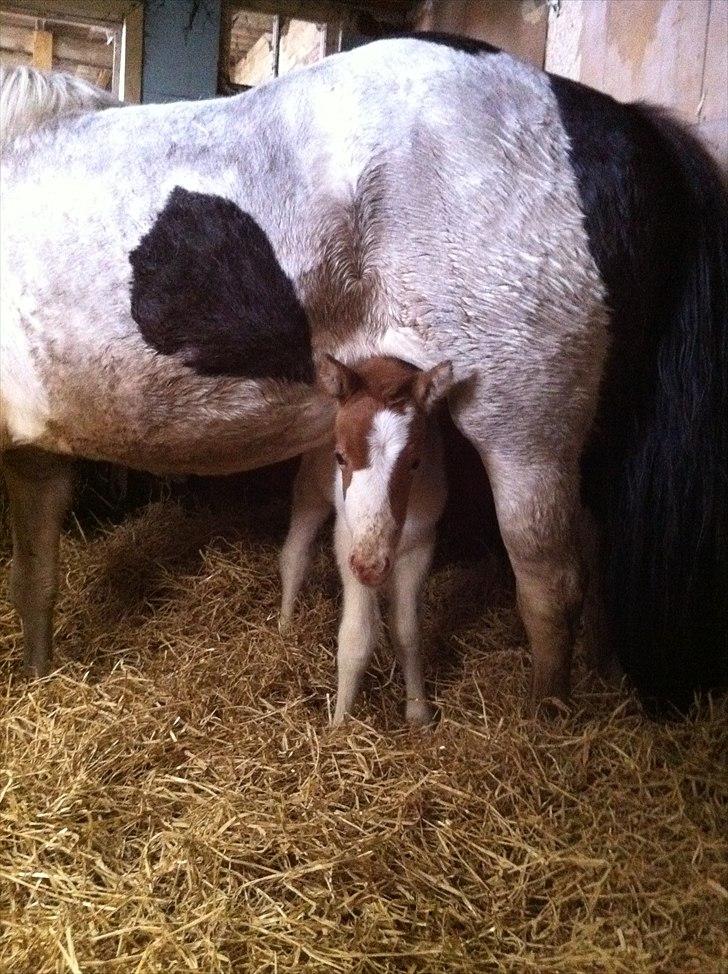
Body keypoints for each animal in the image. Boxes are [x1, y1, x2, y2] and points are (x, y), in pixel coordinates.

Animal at [282, 356, 452, 724]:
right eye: (340, 456)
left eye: (415, 462)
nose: (372, 567)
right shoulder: (350, 546)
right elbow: (356, 638)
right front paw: (340, 722)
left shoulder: (420, 545)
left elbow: (407, 632)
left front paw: (418, 712)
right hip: (311, 491)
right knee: (294, 557)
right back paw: (284, 626)